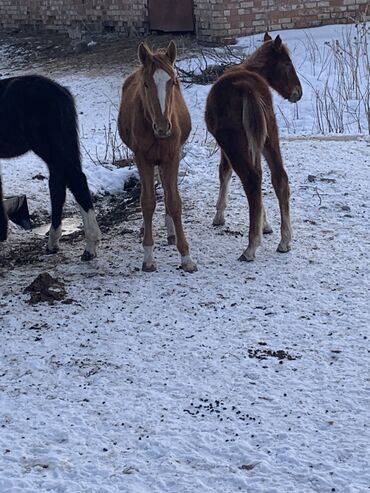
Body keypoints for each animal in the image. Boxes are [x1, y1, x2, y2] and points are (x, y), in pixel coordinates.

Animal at [0, 73, 101, 260]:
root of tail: (61, 93)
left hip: (48, 147)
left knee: (75, 180)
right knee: (58, 186)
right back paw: (53, 243)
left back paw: (90, 246)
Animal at [118, 41, 197, 272]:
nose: (163, 127)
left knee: (166, 187)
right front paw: (148, 255)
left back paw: (171, 231)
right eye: (145, 84)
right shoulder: (142, 158)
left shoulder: (172, 156)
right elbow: (147, 201)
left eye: (173, 82)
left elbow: (174, 201)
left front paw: (186, 256)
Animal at [207, 33, 302, 262]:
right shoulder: (255, 143)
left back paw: (250, 247)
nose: (298, 92)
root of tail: (247, 89)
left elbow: (224, 172)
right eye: (287, 63)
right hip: (269, 138)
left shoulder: (226, 147)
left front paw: (219, 215)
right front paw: (265, 224)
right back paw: (284, 241)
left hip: (234, 144)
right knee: (278, 178)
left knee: (251, 180)